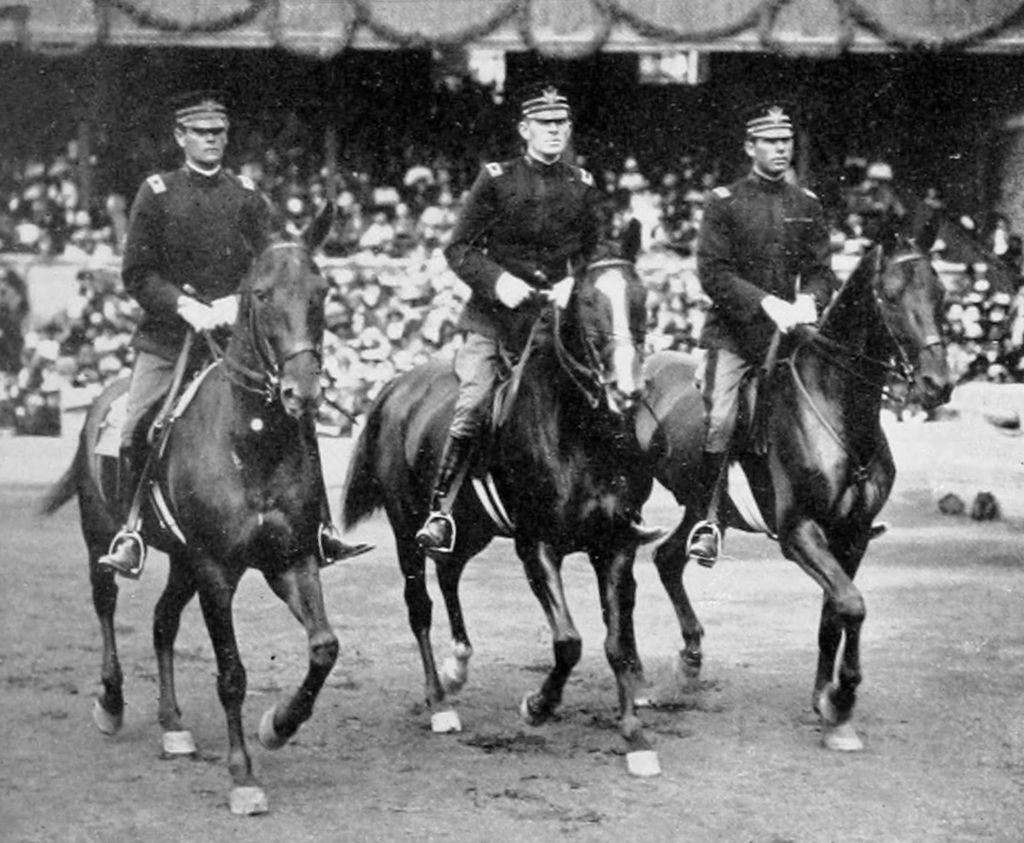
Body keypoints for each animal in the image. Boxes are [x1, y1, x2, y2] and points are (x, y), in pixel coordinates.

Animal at [40, 202, 339, 811]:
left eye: (321, 291)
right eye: (261, 294)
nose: (301, 393)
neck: (251, 443)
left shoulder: (290, 559)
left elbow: (323, 647)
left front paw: (280, 724)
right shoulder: (216, 569)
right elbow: (231, 673)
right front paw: (243, 776)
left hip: (181, 562)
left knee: (161, 622)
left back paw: (173, 724)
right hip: (103, 540)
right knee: (105, 605)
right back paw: (111, 703)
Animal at [339, 260, 659, 766]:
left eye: (641, 298)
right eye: (587, 305)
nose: (626, 389)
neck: (580, 431)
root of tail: (396, 389)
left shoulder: (615, 544)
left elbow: (616, 639)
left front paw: (634, 734)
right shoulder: (537, 546)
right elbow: (568, 642)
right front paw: (538, 706)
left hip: (471, 530)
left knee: (449, 573)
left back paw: (458, 666)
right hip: (405, 526)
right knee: (419, 604)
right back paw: (440, 702)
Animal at [634, 238, 954, 749]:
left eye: (940, 294)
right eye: (889, 297)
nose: (937, 385)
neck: (838, 412)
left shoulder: (852, 535)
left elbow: (834, 614)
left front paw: (829, 705)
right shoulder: (799, 532)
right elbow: (852, 605)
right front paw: (841, 698)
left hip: (700, 506)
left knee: (667, 558)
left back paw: (689, 663)